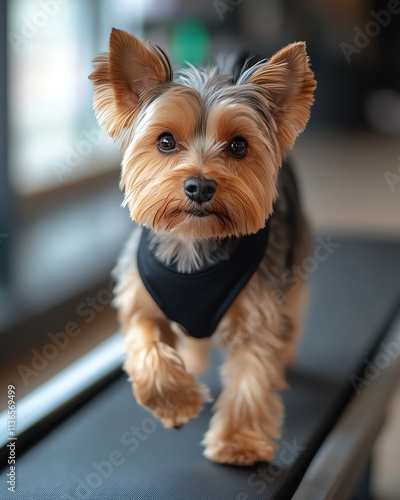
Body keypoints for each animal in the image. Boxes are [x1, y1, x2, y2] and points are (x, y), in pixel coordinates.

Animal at [90, 27, 316, 464]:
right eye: (165, 141)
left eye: (239, 146)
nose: (199, 185)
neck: (193, 241)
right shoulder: (138, 300)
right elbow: (146, 347)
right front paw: (177, 402)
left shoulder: (259, 313)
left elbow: (251, 376)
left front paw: (239, 443)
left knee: (292, 316)